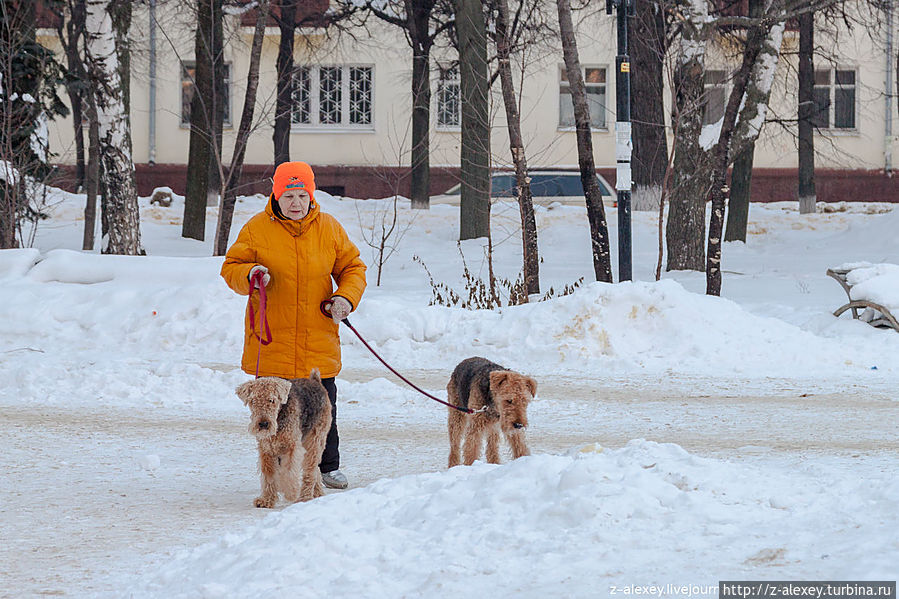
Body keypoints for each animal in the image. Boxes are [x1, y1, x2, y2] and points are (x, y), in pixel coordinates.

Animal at [237, 372, 332, 508]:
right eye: (253, 401)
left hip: (315, 440)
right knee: (315, 470)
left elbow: (289, 471)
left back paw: (304, 497)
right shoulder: (266, 450)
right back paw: (317, 492)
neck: (278, 417)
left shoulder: (292, 447)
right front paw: (266, 500)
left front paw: (290, 492)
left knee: (310, 471)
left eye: (271, 400)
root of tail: (315, 381)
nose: (263, 424)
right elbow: (268, 475)